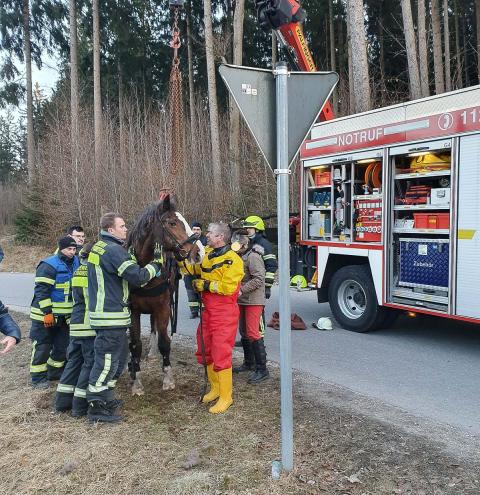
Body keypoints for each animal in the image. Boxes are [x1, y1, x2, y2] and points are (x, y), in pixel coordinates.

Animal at [124, 196, 200, 398]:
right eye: (172, 223)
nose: (197, 252)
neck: (143, 271)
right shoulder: (132, 311)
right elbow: (135, 345)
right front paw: (137, 381)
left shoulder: (163, 308)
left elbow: (164, 342)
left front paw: (168, 379)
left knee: (154, 327)